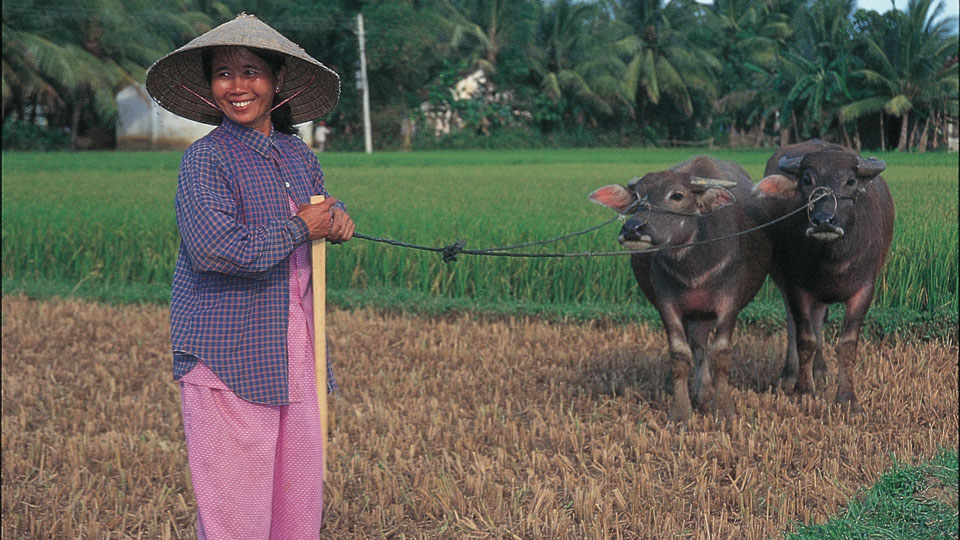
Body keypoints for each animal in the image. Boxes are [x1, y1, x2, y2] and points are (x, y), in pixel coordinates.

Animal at [592, 156, 772, 422]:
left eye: (677, 195)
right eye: (637, 197)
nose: (633, 229)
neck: (694, 265)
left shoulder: (729, 302)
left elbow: (721, 354)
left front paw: (724, 409)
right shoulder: (667, 304)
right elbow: (679, 354)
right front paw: (680, 412)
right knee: (696, 345)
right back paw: (693, 389)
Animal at [752, 140, 896, 414]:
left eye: (850, 181)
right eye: (807, 180)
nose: (823, 221)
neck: (833, 261)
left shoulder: (864, 290)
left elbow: (847, 344)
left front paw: (848, 398)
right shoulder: (797, 288)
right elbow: (805, 338)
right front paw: (804, 392)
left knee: (818, 321)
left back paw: (819, 371)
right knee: (795, 325)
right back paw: (789, 375)